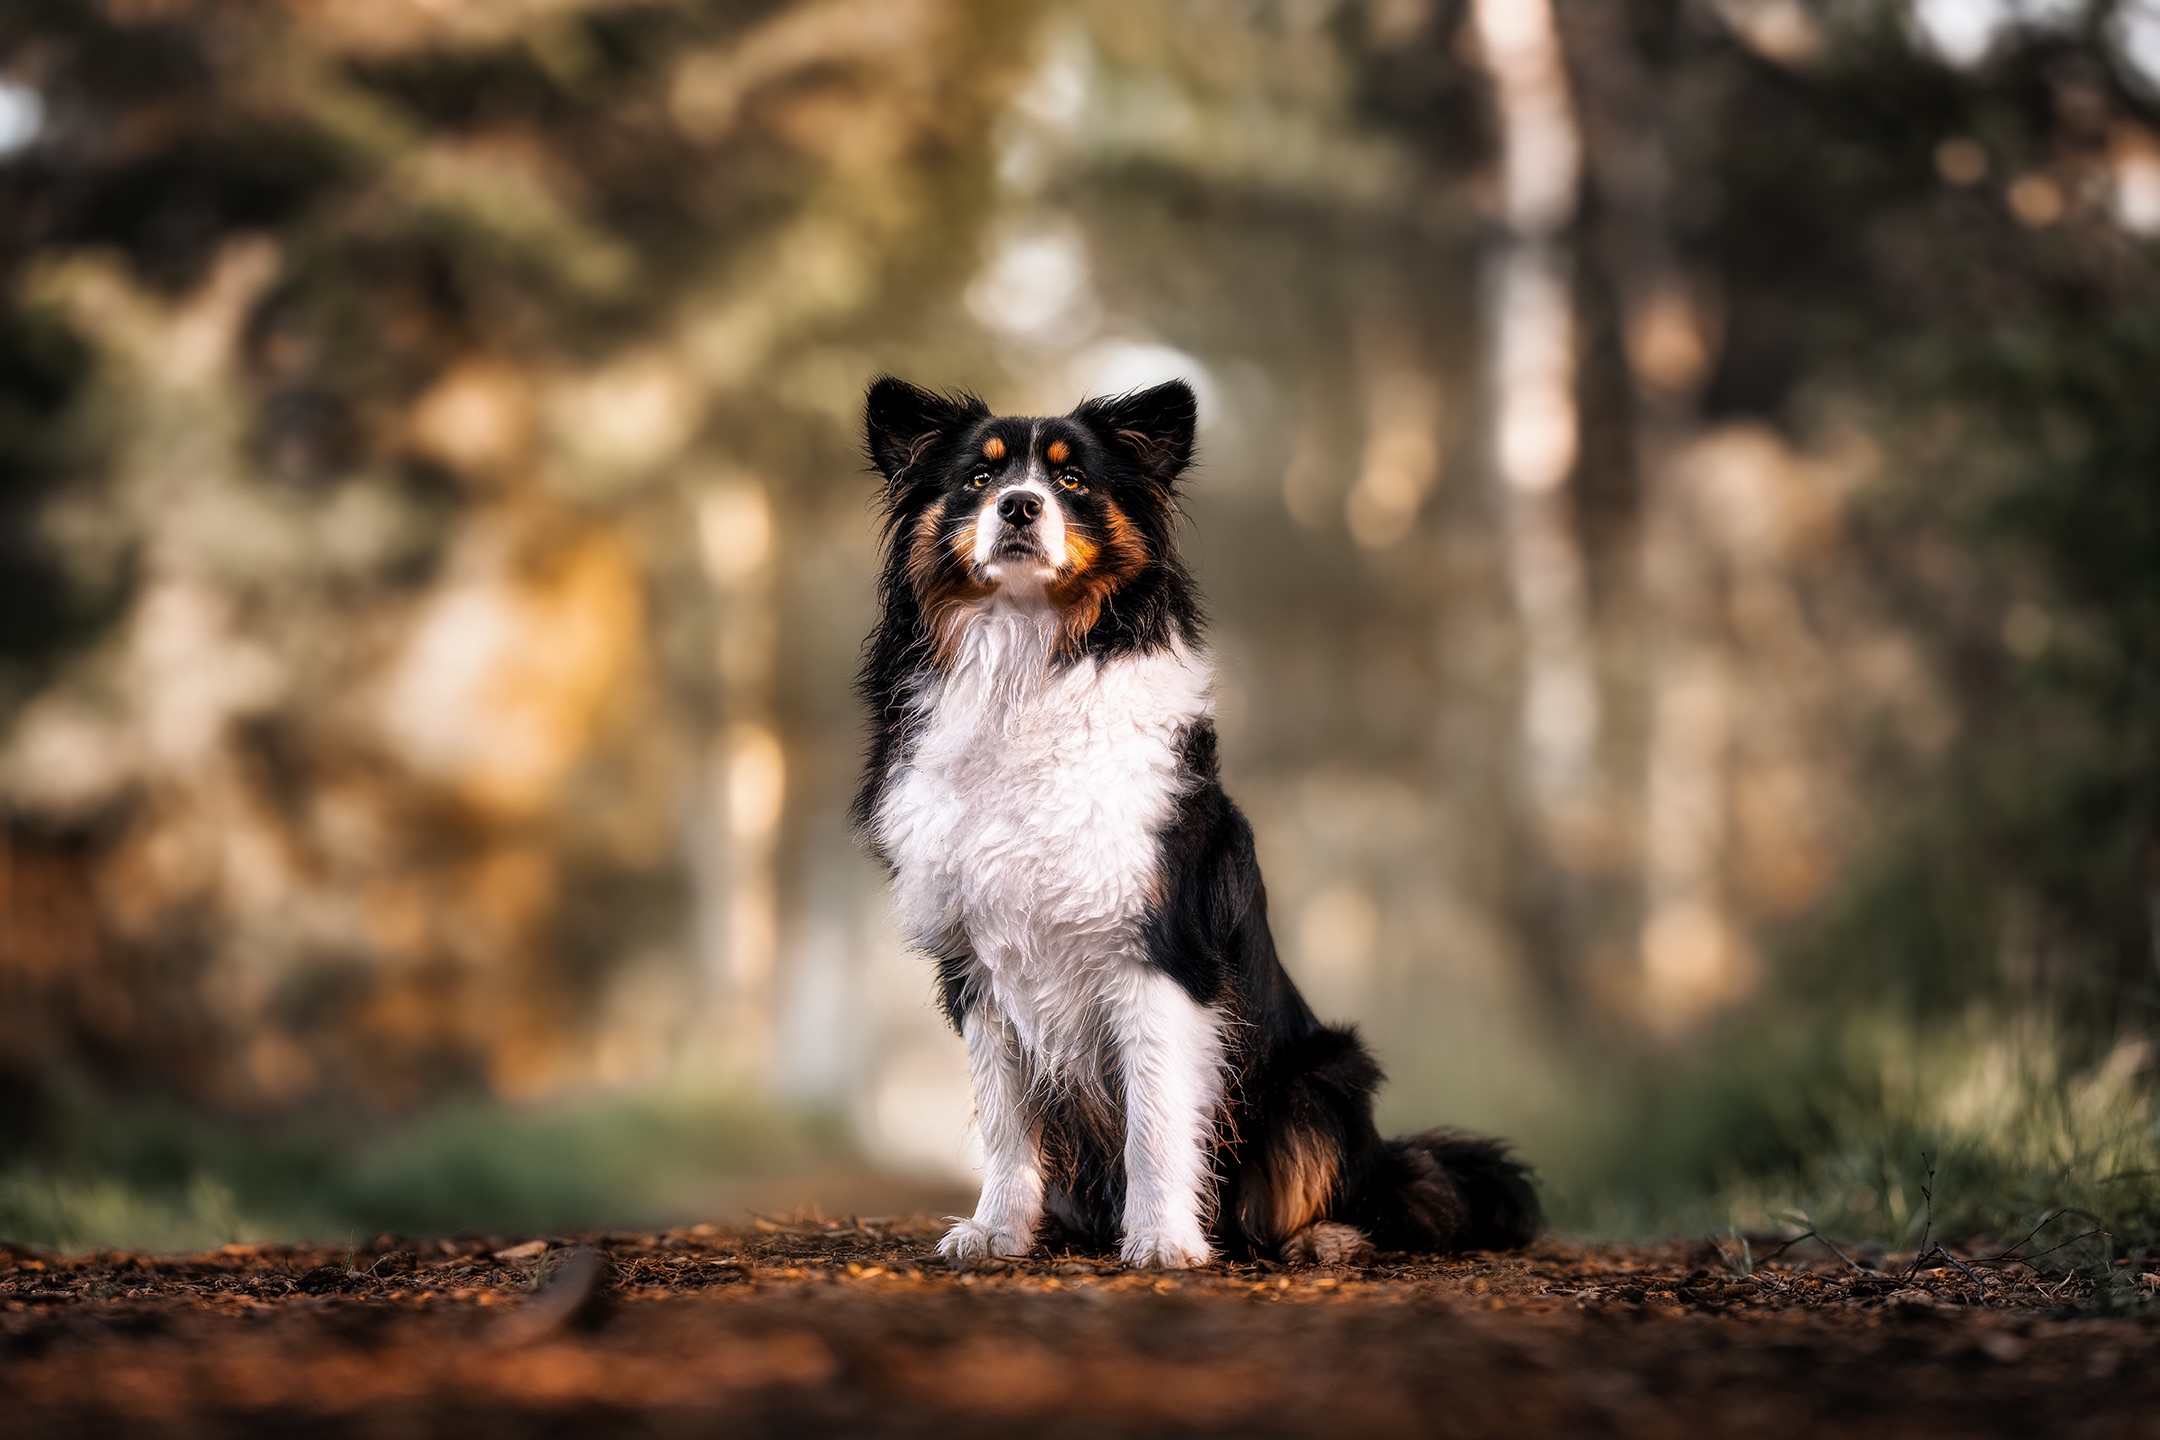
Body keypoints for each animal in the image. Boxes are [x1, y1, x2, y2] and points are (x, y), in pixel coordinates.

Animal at [846, 377, 1537, 1269]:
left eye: (1072, 481)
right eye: (978, 477)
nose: (1020, 506)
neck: (1027, 661)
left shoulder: (1160, 952)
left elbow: (1157, 1114)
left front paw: (1164, 1239)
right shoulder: (977, 964)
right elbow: (1005, 1121)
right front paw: (997, 1231)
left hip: (1322, 1077)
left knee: (1348, 1196)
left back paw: (1324, 1238)